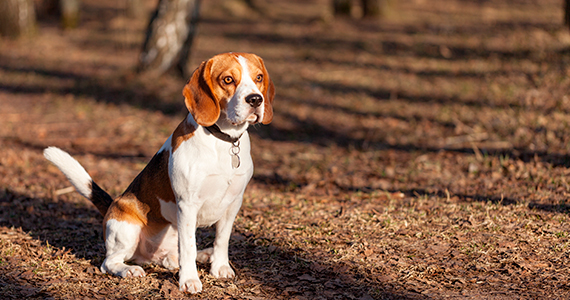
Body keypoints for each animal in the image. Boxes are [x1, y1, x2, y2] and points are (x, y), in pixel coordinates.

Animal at [43, 52, 274, 292]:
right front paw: (189, 280)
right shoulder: (187, 204)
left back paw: (203, 255)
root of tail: (112, 204)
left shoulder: (233, 202)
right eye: (228, 79)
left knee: (172, 258)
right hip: (127, 228)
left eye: (258, 77)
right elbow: (189, 246)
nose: (256, 100)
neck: (224, 140)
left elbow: (222, 239)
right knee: (110, 262)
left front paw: (219, 267)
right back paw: (130, 270)